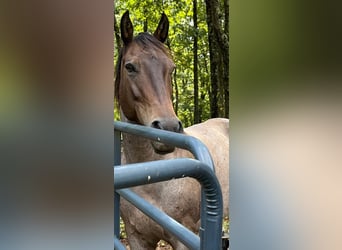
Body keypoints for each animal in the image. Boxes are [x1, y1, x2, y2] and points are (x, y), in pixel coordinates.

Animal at [115, 10, 230, 249]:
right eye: (130, 67)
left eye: (172, 68)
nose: (168, 127)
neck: (152, 175)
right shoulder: (136, 237)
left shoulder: (184, 239)